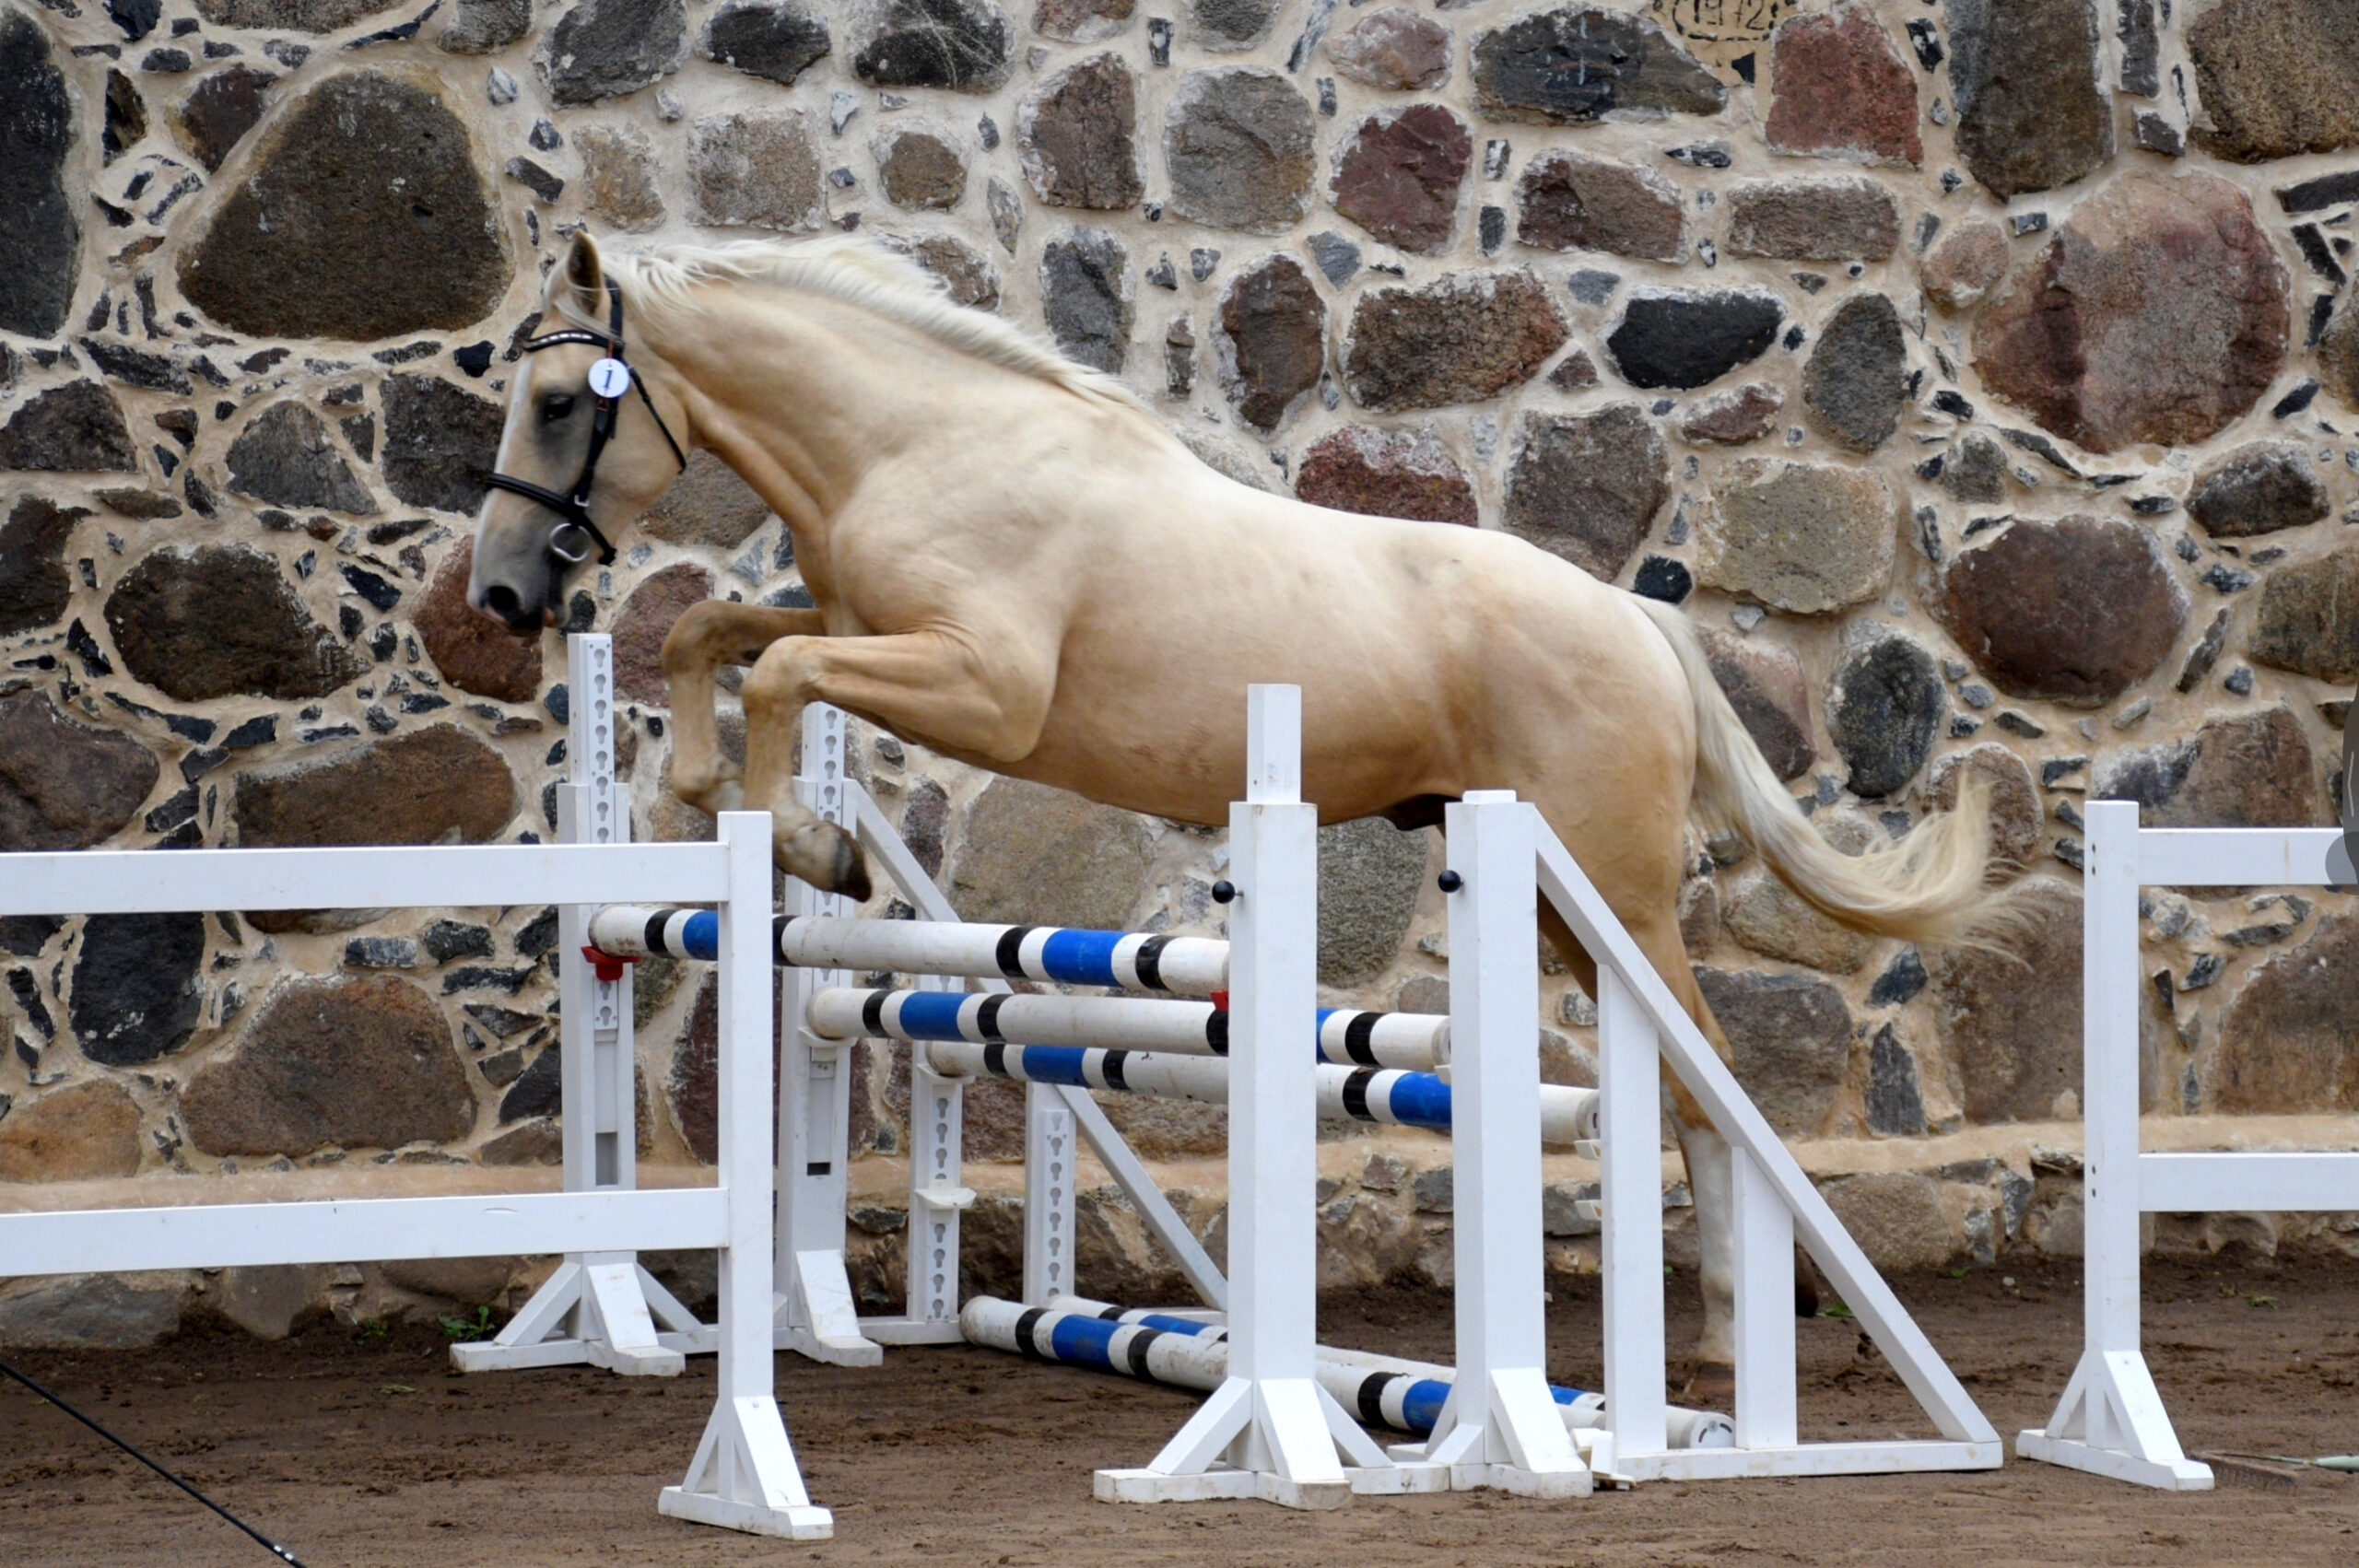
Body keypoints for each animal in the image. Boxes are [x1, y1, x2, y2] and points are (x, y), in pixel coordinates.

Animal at [470, 230, 2009, 1393]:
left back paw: (1726, 1343)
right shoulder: (861, 628)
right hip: (1553, 897)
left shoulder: (981, 686)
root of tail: (1635, 616)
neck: (924, 442)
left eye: (558, 403)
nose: (499, 594)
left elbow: (777, 677)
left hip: (1605, 886)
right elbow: (716, 636)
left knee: (1699, 1072)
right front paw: (744, 804)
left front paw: (805, 841)